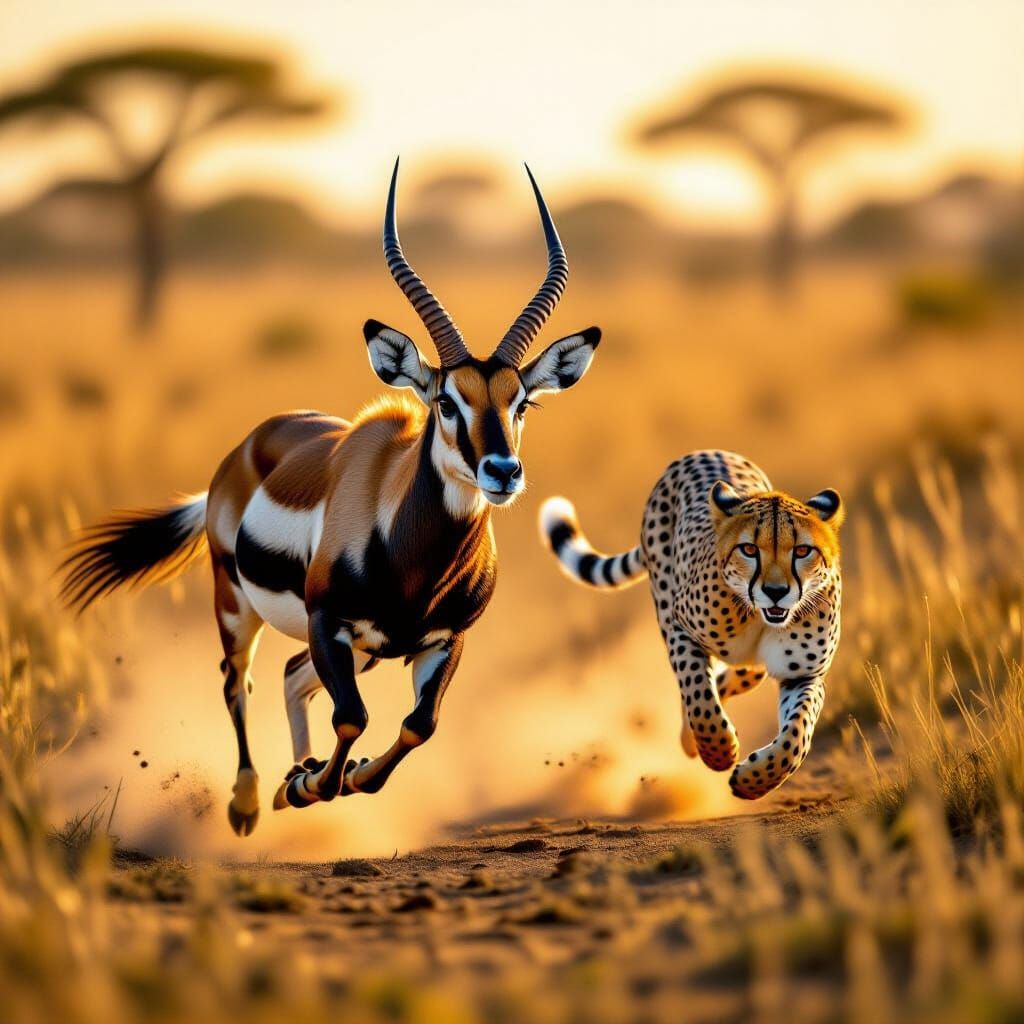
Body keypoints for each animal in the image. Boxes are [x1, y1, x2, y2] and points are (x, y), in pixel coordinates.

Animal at [61, 160, 602, 836]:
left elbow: (417, 725)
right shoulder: (328, 621)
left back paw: (300, 775)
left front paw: (342, 777)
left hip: (364, 650)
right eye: (446, 401)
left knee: (293, 676)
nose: (502, 471)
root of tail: (247, 448)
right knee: (238, 682)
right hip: (237, 604)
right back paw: (252, 800)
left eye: (521, 403)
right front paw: (311, 784)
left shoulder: (442, 640)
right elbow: (353, 717)